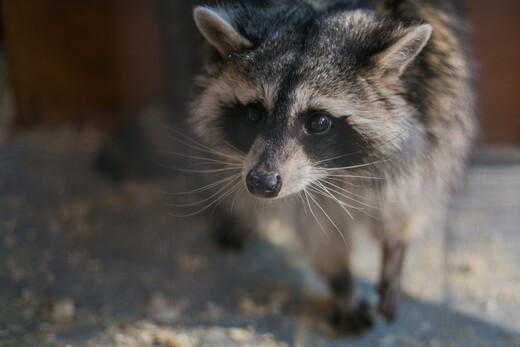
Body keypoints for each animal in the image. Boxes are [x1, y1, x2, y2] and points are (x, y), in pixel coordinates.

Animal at [190, 0, 476, 334]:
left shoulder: (436, 103)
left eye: (319, 121)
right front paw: (341, 281)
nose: (261, 183)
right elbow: (313, 228)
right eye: (253, 113)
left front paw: (396, 248)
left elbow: (412, 191)